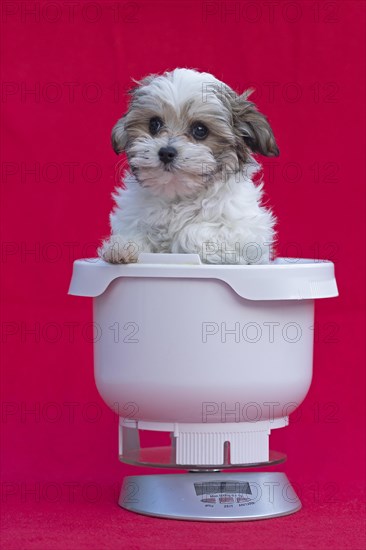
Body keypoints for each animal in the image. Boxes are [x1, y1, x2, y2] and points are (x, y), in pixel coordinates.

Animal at [98, 68, 278, 266]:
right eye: (154, 124)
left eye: (200, 130)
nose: (166, 152)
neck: (178, 194)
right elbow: (138, 232)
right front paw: (124, 245)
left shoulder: (248, 235)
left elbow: (190, 232)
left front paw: (173, 238)